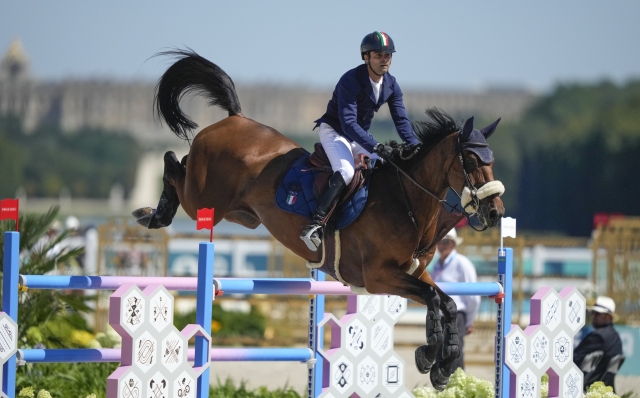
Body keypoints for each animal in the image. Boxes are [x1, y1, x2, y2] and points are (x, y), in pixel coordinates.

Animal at [134, 49, 504, 388]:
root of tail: (235, 118)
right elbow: (434, 299)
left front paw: (440, 364)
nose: (496, 212)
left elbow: (447, 302)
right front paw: (431, 356)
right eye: (472, 161)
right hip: (203, 200)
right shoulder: (379, 276)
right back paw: (152, 214)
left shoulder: (412, 273)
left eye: (492, 159)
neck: (407, 201)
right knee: (173, 163)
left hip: (241, 215)